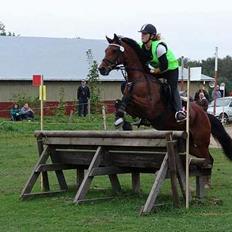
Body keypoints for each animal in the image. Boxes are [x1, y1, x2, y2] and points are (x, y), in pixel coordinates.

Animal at [98, 33, 232, 169]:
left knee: (208, 158)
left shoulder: (150, 108)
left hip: (201, 140)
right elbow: (118, 101)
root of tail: (205, 114)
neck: (138, 79)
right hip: (191, 144)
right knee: (208, 158)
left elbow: (128, 97)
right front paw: (121, 121)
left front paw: (121, 119)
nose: (101, 69)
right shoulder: (135, 109)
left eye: (114, 51)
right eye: (106, 50)